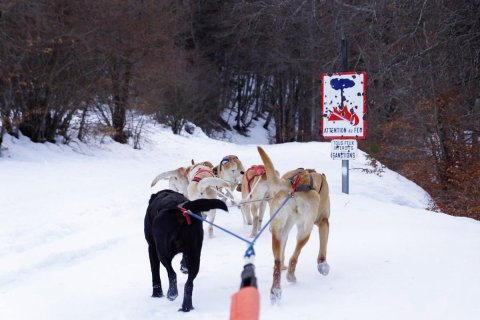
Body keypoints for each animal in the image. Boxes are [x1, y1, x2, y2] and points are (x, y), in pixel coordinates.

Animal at [258, 146, 330, 304]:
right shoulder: (324, 221)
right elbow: (323, 249)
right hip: (305, 230)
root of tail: (293, 185)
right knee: (294, 257)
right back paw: (290, 276)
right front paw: (323, 266)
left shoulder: (284, 229)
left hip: (278, 231)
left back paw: (276, 291)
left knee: (278, 261)